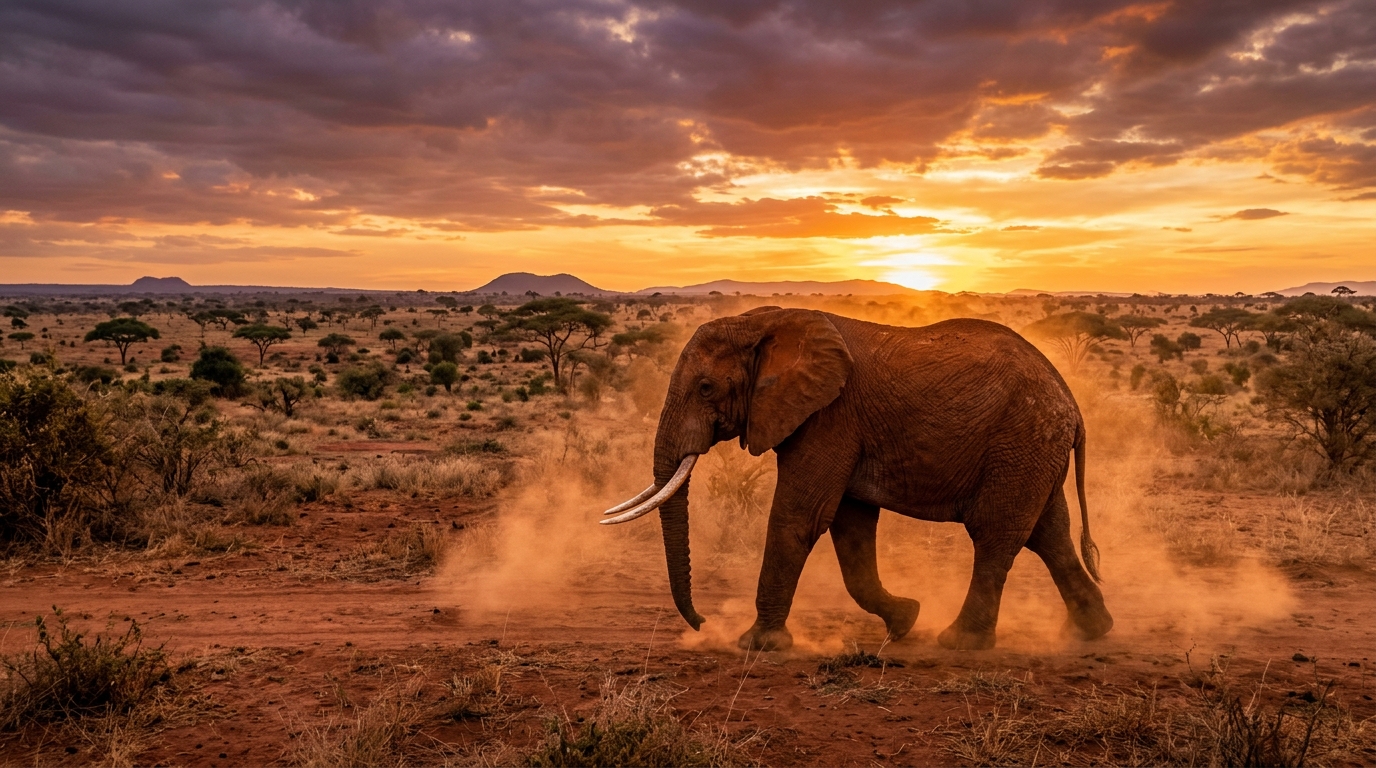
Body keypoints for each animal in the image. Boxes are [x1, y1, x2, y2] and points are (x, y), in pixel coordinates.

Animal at [600, 307, 1113, 652]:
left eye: (706, 388)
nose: (703, 622)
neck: (767, 322)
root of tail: (1072, 402)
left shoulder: (830, 417)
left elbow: (799, 517)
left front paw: (758, 645)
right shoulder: (842, 426)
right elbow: (851, 530)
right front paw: (905, 621)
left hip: (1020, 442)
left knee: (997, 534)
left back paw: (961, 642)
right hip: (1034, 450)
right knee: (1049, 534)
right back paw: (1090, 632)